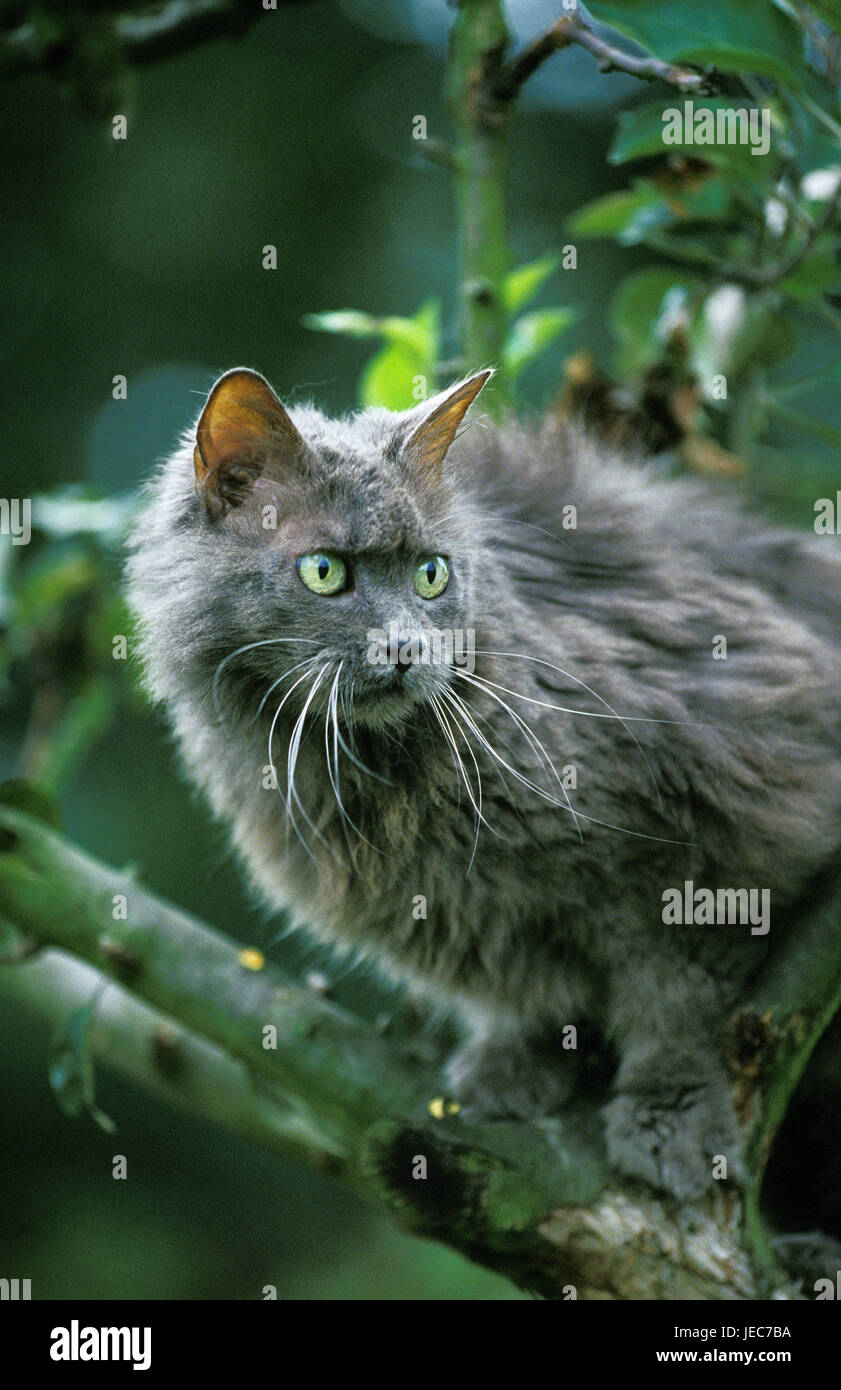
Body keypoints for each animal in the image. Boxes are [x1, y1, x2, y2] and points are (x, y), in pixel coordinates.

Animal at [123, 364, 839, 1200]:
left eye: (431, 575)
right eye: (324, 571)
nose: (406, 647)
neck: (372, 770)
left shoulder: (725, 814)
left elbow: (676, 1000)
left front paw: (672, 1118)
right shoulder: (461, 912)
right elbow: (519, 993)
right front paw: (512, 1067)